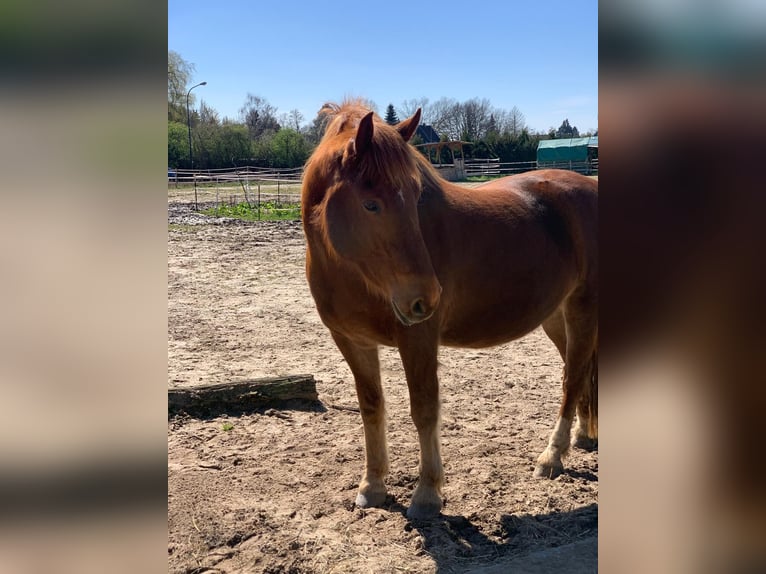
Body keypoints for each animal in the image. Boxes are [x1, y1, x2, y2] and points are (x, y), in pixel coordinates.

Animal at [302, 100, 600, 520]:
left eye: (415, 197)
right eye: (371, 203)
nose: (426, 297)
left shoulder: (418, 338)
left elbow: (425, 410)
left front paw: (427, 493)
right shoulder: (351, 341)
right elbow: (372, 408)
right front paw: (372, 486)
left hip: (582, 308)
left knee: (572, 379)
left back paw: (552, 456)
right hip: (557, 317)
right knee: (584, 370)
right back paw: (584, 436)